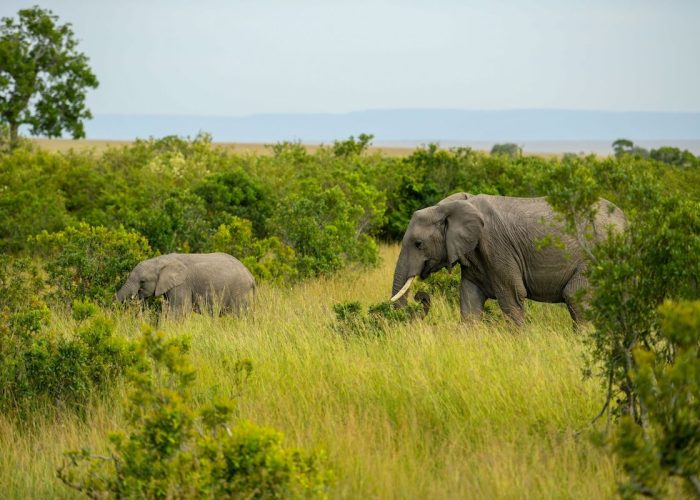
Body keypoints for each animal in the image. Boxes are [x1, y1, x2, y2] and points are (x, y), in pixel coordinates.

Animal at [116, 253, 255, 315]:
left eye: (142, 281)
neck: (161, 260)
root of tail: (251, 276)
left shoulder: (182, 285)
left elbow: (179, 310)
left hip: (240, 292)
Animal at [390, 193, 626, 325]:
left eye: (418, 244)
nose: (420, 296)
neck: (449, 206)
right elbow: (469, 299)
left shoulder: (497, 247)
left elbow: (512, 297)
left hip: (598, 256)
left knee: (575, 297)